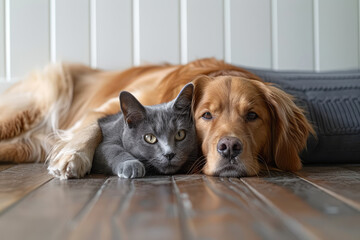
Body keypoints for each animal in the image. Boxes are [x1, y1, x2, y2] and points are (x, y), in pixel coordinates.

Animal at [0, 57, 312, 178]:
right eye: (206, 115)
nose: (230, 148)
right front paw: (73, 157)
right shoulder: (108, 109)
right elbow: (92, 129)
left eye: (252, 115)